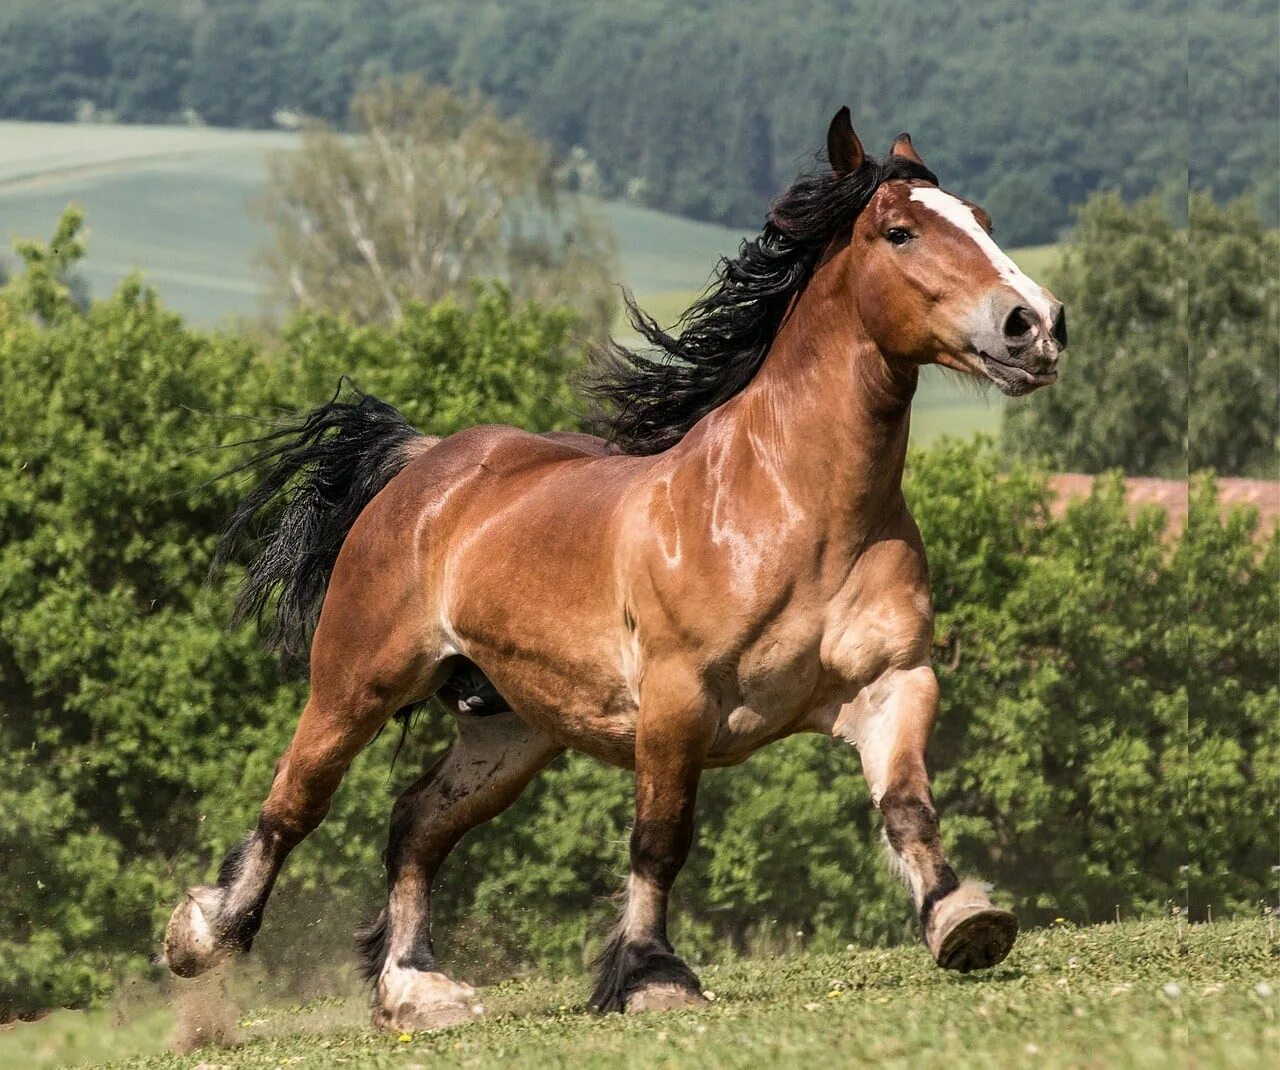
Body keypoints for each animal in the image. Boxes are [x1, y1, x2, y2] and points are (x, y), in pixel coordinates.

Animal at [167, 108, 1070, 1029]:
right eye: (900, 232)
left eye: (983, 221)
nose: (1035, 325)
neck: (793, 510)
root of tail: (424, 466)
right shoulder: (676, 702)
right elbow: (659, 840)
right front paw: (651, 976)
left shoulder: (894, 680)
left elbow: (907, 805)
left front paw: (963, 919)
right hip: (356, 684)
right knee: (295, 805)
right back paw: (203, 935)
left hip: (512, 728)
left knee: (417, 821)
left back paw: (416, 988)